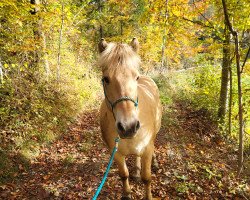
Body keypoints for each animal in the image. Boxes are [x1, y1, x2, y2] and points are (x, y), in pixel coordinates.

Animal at [97, 38, 162, 200]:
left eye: (136, 77)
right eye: (105, 79)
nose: (129, 126)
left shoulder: (147, 149)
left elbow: (147, 178)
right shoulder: (116, 153)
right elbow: (123, 174)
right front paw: (126, 193)